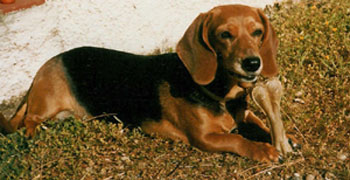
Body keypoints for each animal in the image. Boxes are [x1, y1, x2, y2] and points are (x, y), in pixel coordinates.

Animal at [0, 4, 290, 162]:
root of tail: (47, 63)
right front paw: (262, 149)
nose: (252, 63)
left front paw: (284, 139)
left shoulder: (246, 115)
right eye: (225, 35)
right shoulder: (204, 138)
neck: (221, 93)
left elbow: (261, 124)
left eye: (257, 32)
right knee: (29, 121)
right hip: (47, 103)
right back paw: (33, 134)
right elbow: (237, 140)